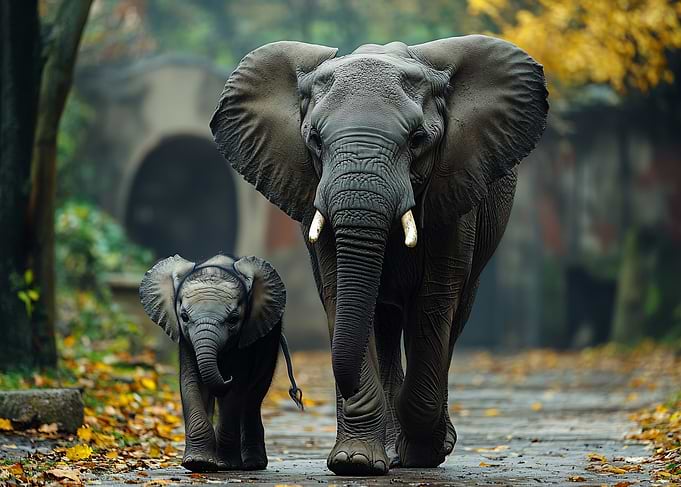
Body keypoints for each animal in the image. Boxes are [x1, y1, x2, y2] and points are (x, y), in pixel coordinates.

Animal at [139, 253, 303, 472]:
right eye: (184, 317)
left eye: (233, 319)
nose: (226, 377)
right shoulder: (186, 340)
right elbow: (192, 383)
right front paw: (198, 463)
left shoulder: (248, 335)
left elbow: (236, 389)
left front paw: (226, 465)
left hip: (269, 340)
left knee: (253, 397)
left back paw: (253, 464)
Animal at [210, 35, 548, 475]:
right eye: (314, 139)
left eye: (418, 139)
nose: (298, 396)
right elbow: (341, 292)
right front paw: (355, 462)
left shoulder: (455, 192)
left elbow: (434, 302)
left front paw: (422, 453)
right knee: (385, 320)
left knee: (452, 316)